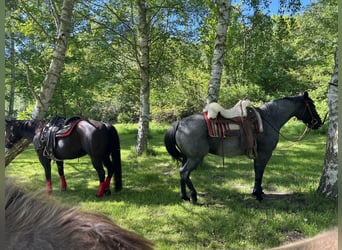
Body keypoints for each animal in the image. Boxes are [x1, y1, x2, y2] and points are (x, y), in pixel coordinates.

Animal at [164, 92, 322, 203]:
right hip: (195, 158)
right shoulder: (265, 153)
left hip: (187, 157)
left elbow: (257, 171)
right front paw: (258, 194)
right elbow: (259, 172)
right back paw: (193, 196)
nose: (319, 122)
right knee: (184, 172)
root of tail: (180, 123)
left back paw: (184, 196)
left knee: (181, 173)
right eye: (312, 106)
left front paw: (258, 191)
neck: (268, 118)